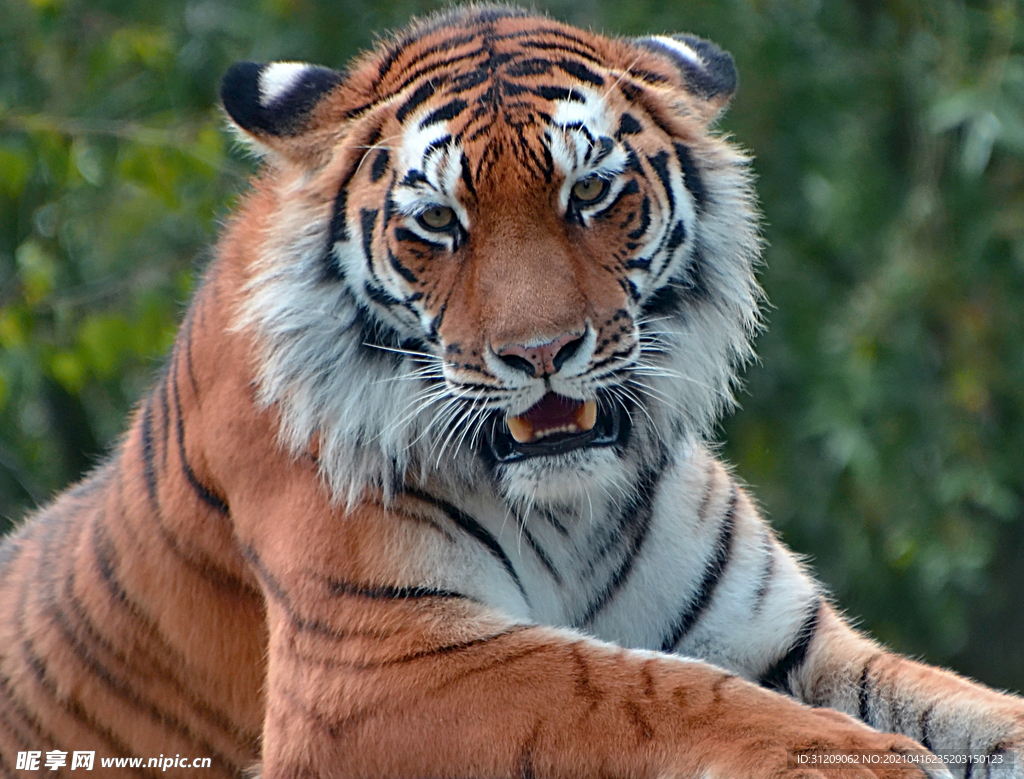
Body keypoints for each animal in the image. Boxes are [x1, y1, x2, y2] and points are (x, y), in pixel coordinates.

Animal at [1, 4, 1022, 778]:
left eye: (592, 193)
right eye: (437, 222)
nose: (540, 352)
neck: (571, 509)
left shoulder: (792, 639)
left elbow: (971, 708)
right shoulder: (374, 664)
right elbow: (639, 687)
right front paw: (874, 761)